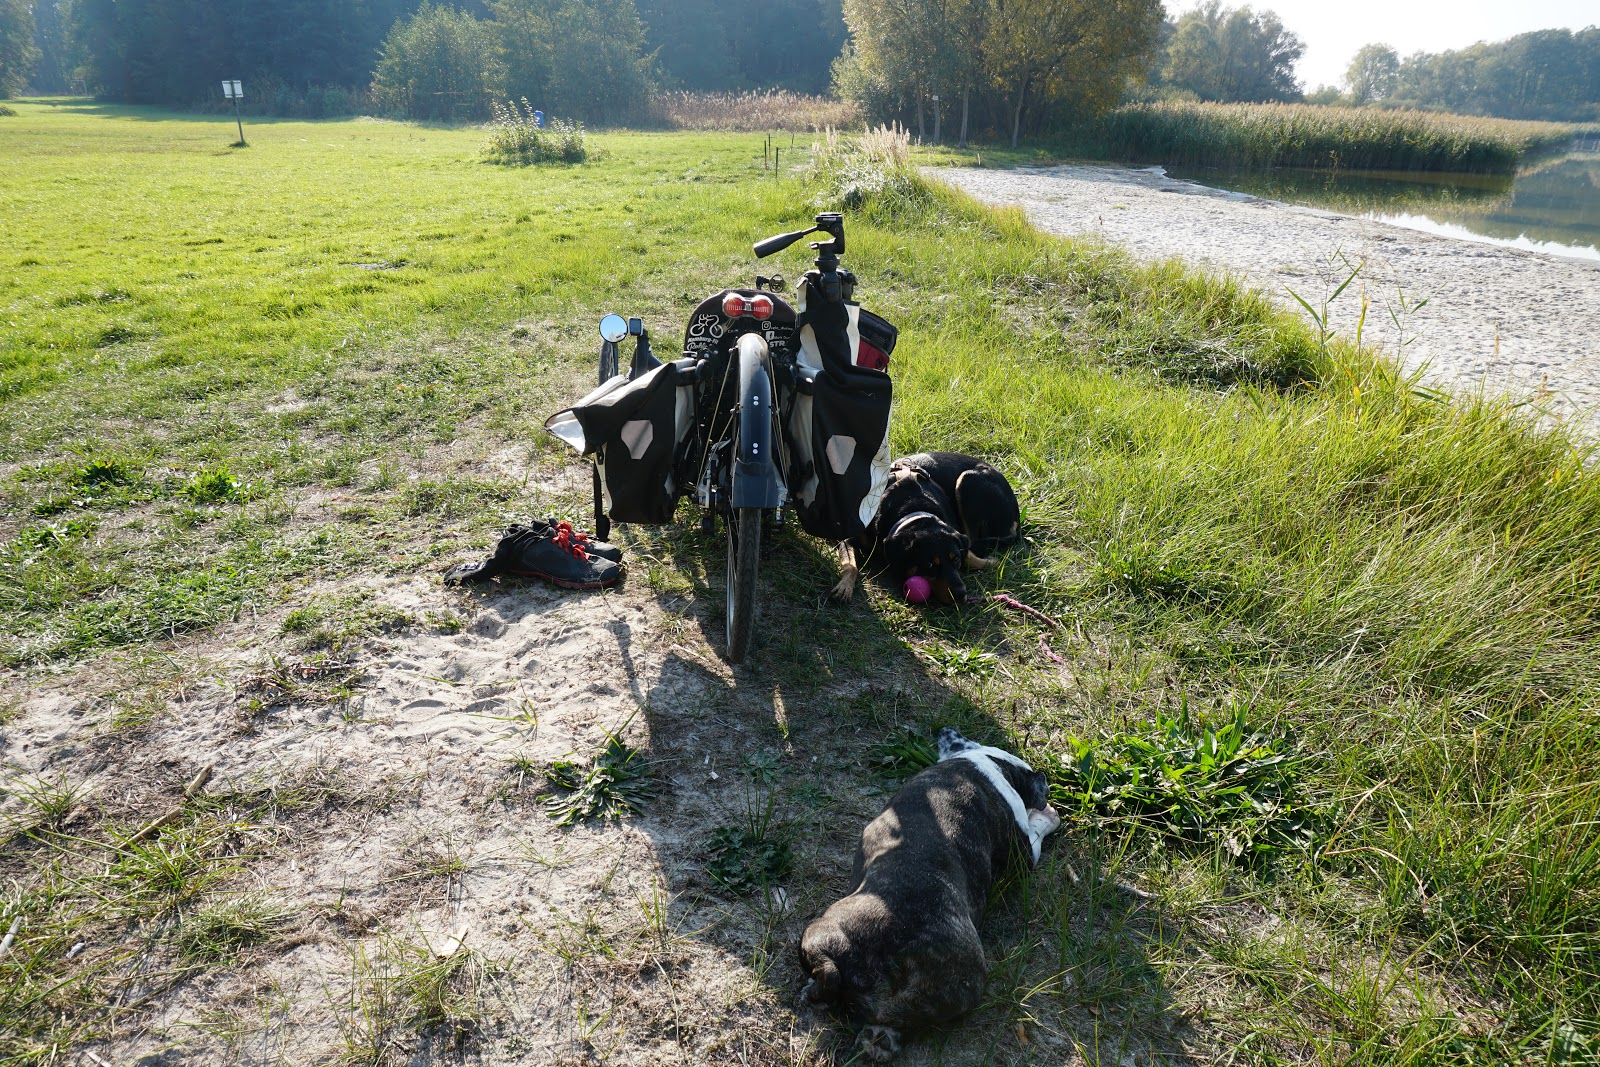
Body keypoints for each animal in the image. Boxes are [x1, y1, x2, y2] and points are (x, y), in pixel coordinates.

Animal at [832, 447, 1017, 604]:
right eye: (930, 565)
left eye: (956, 558)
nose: (960, 594)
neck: (912, 509)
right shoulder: (848, 538)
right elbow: (850, 566)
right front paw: (845, 588)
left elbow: (970, 555)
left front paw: (991, 563)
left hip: (968, 479)